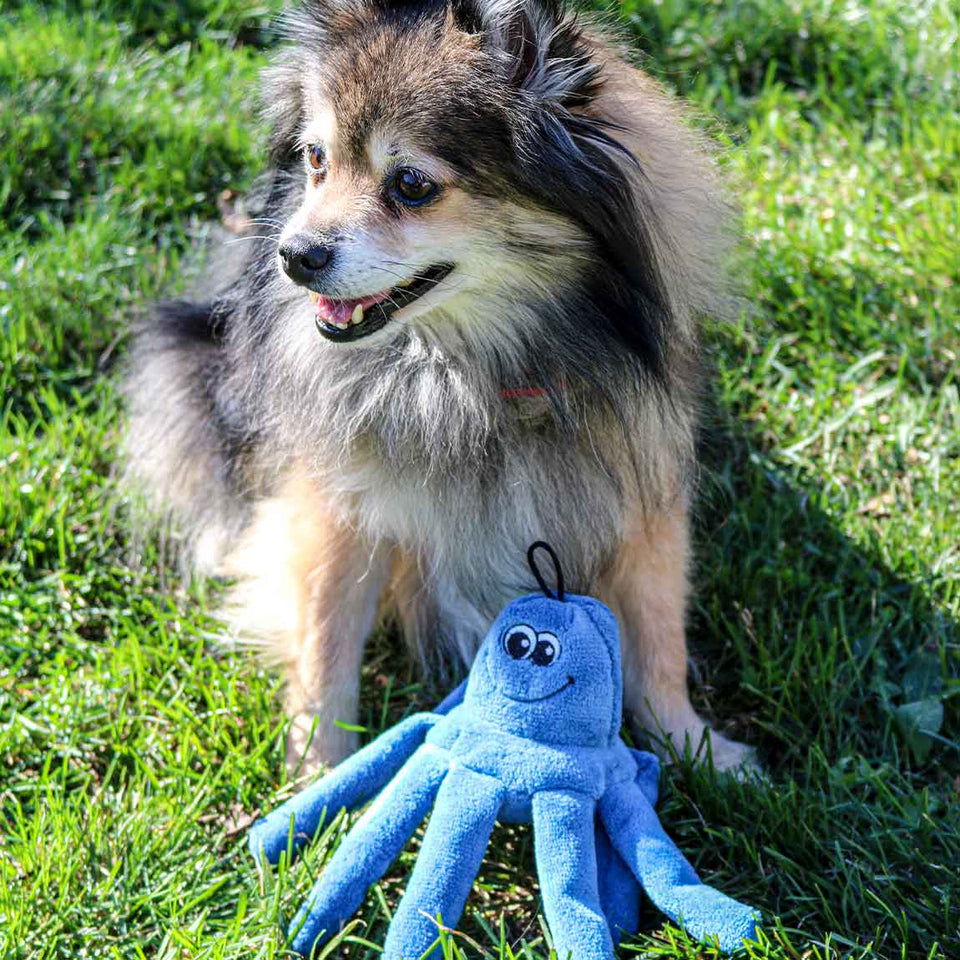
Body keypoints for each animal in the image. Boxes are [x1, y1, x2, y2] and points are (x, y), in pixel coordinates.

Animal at [124, 0, 752, 772]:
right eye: (315, 159)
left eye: (412, 185)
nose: (293, 256)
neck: (463, 373)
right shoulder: (337, 503)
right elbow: (324, 646)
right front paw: (320, 772)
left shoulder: (642, 486)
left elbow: (661, 638)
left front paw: (699, 750)